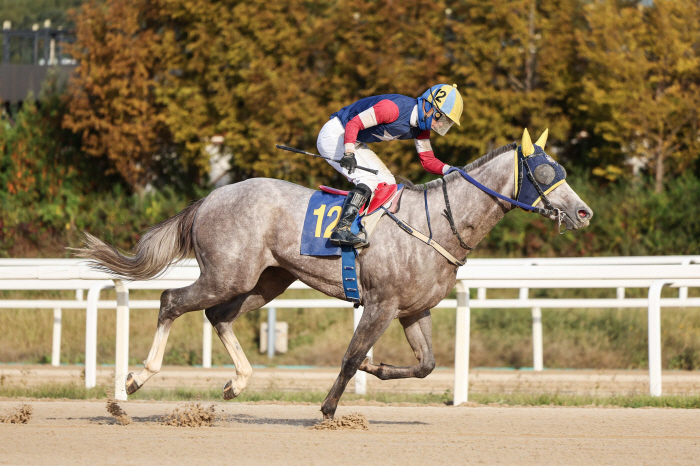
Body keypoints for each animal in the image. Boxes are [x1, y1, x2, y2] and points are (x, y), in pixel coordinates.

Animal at [78, 129, 592, 420]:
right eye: (546, 172)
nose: (583, 212)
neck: (439, 224)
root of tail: (210, 197)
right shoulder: (382, 304)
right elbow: (349, 357)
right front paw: (327, 408)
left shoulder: (414, 310)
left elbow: (425, 365)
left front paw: (374, 368)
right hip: (227, 274)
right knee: (171, 302)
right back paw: (130, 386)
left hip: (265, 280)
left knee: (217, 317)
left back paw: (236, 383)